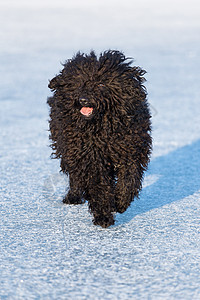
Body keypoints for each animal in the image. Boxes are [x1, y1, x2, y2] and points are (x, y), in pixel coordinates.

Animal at [47, 50, 152, 227]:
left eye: (101, 84)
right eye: (80, 83)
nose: (83, 99)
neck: (103, 127)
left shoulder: (130, 150)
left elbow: (129, 179)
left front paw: (121, 202)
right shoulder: (91, 158)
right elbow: (99, 186)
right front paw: (103, 216)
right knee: (75, 176)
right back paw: (73, 196)